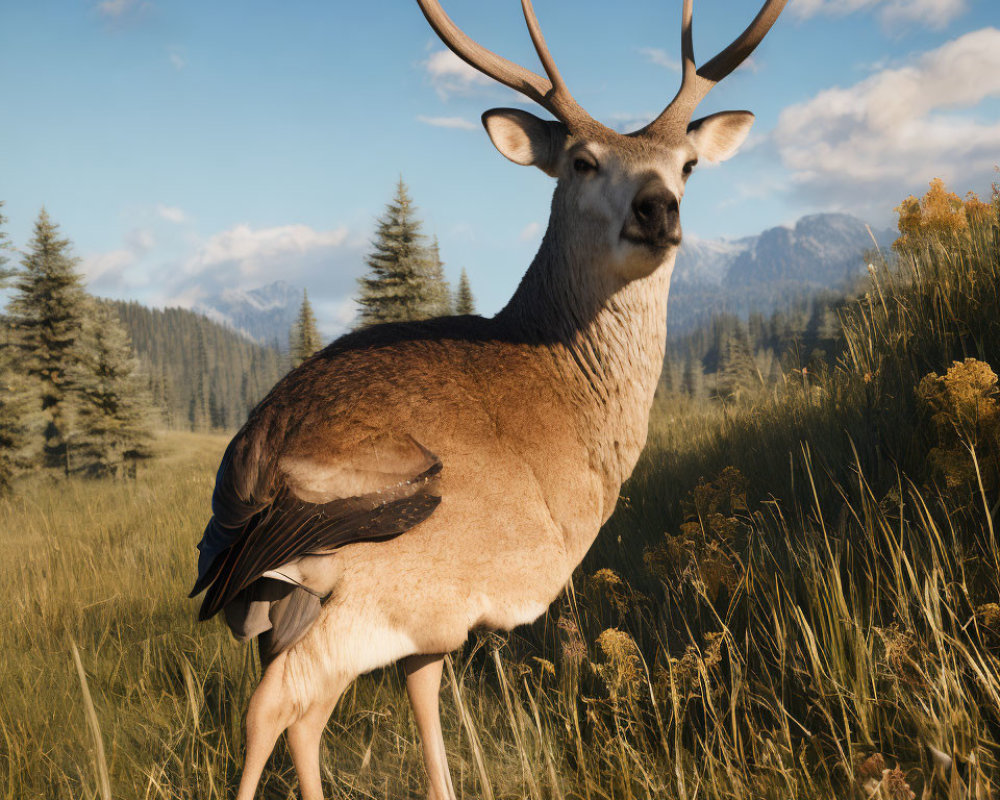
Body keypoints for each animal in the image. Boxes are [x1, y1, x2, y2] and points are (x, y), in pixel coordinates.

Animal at [189, 1, 788, 800]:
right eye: (582, 161)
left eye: (687, 165)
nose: (657, 208)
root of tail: (256, 464)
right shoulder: (441, 594)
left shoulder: (433, 617)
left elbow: (418, 703)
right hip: (357, 577)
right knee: (276, 710)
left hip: (276, 590)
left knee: (300, 717)